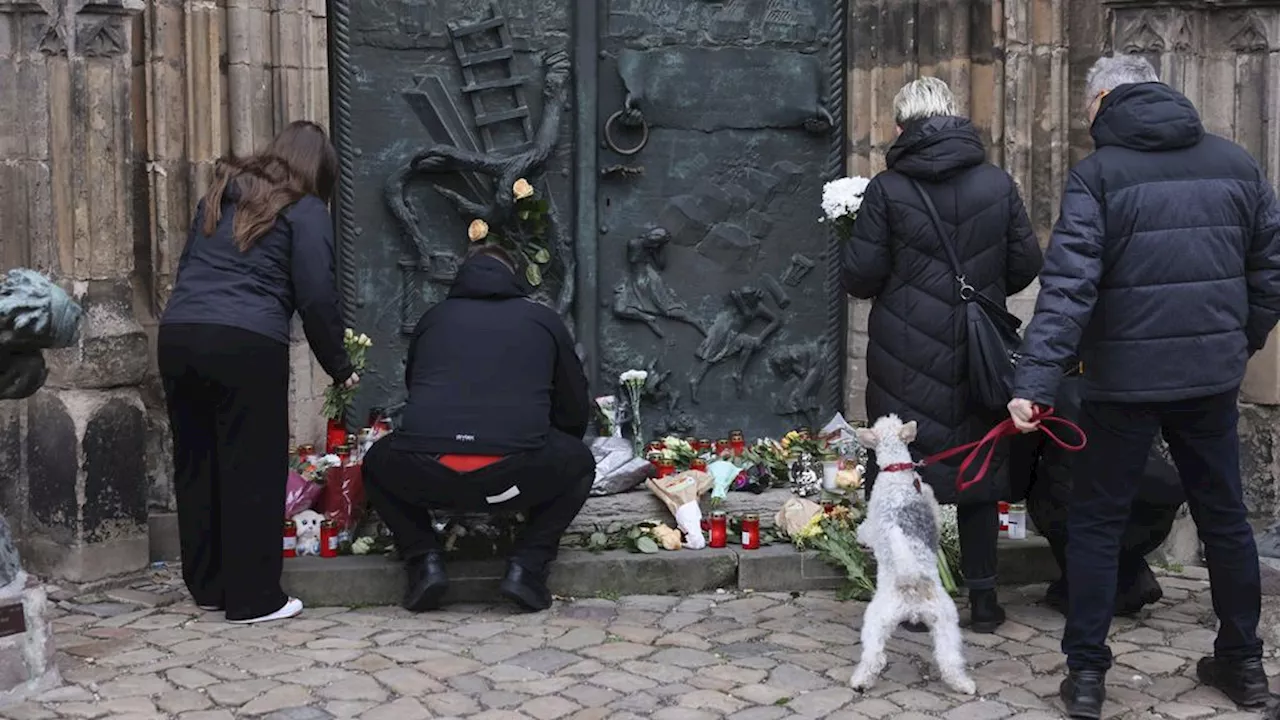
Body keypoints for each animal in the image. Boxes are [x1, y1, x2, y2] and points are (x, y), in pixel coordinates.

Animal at [855, 412, 972, 691]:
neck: (896, 470)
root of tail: (912, 582)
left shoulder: (873, 521)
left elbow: (865, 530)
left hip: (876, 618)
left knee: (873, 655)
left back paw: (859, 680)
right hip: (946, 622)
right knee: (950, 659)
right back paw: (964, 685)